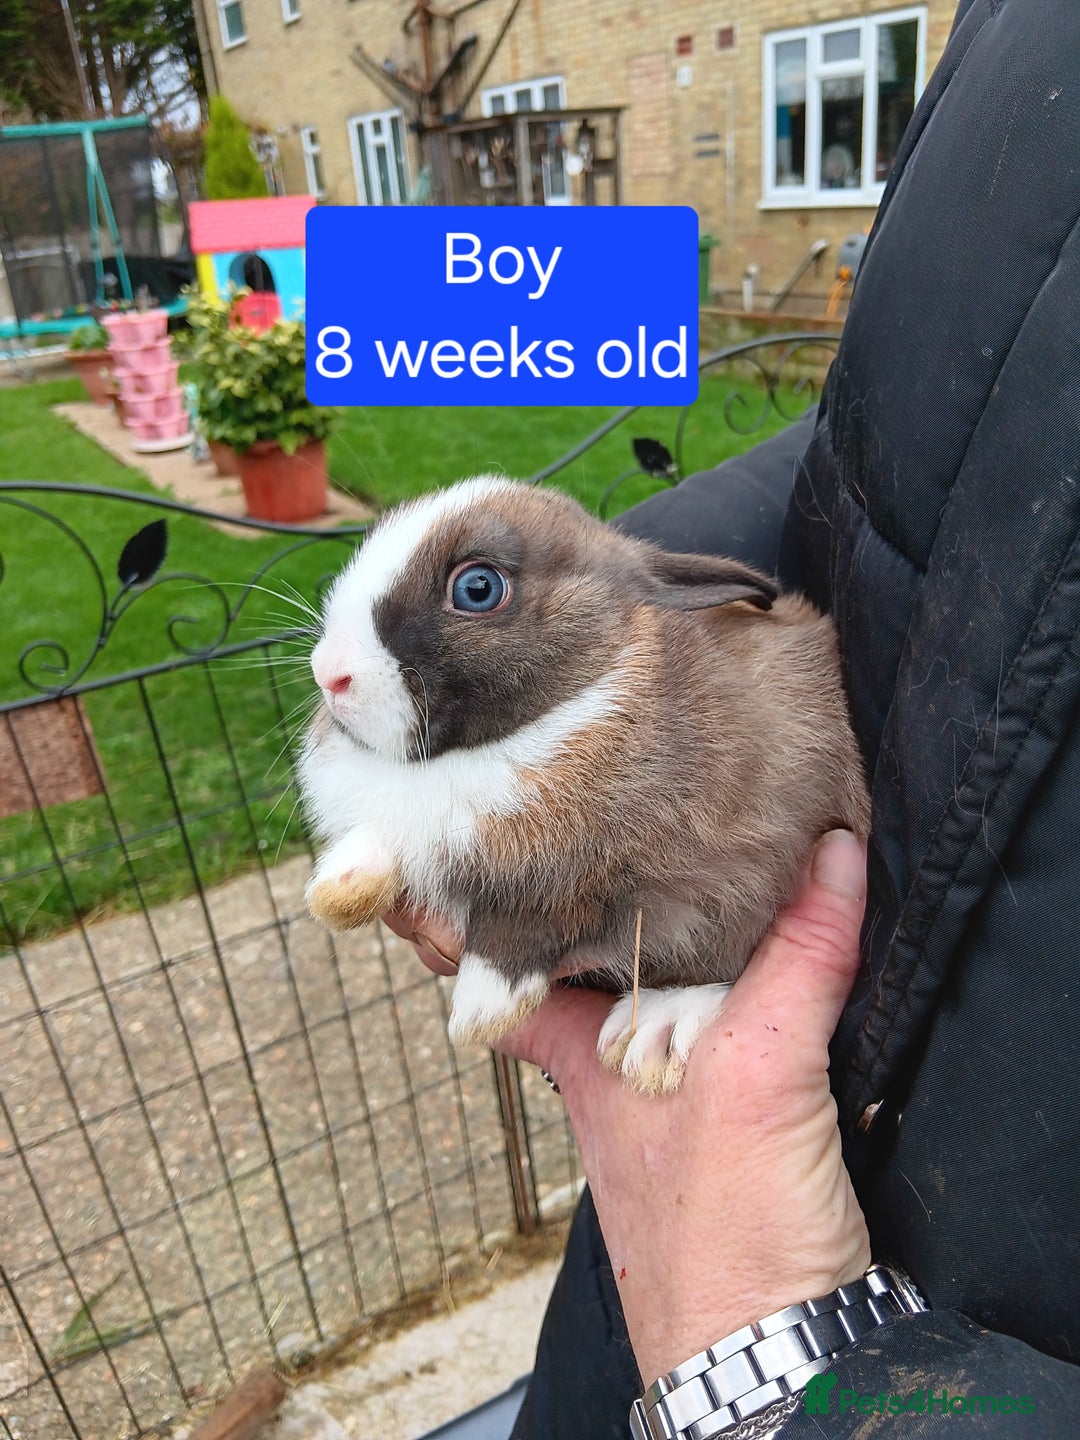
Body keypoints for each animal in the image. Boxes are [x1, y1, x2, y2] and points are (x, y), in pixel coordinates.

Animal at [298, 475, 869, 1093]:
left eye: (478, 588)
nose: (328, 673)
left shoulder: (614, 876)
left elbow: (526, 927)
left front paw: (481, 1013)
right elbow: (377, 839)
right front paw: (339, 891)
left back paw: (657, 1032)